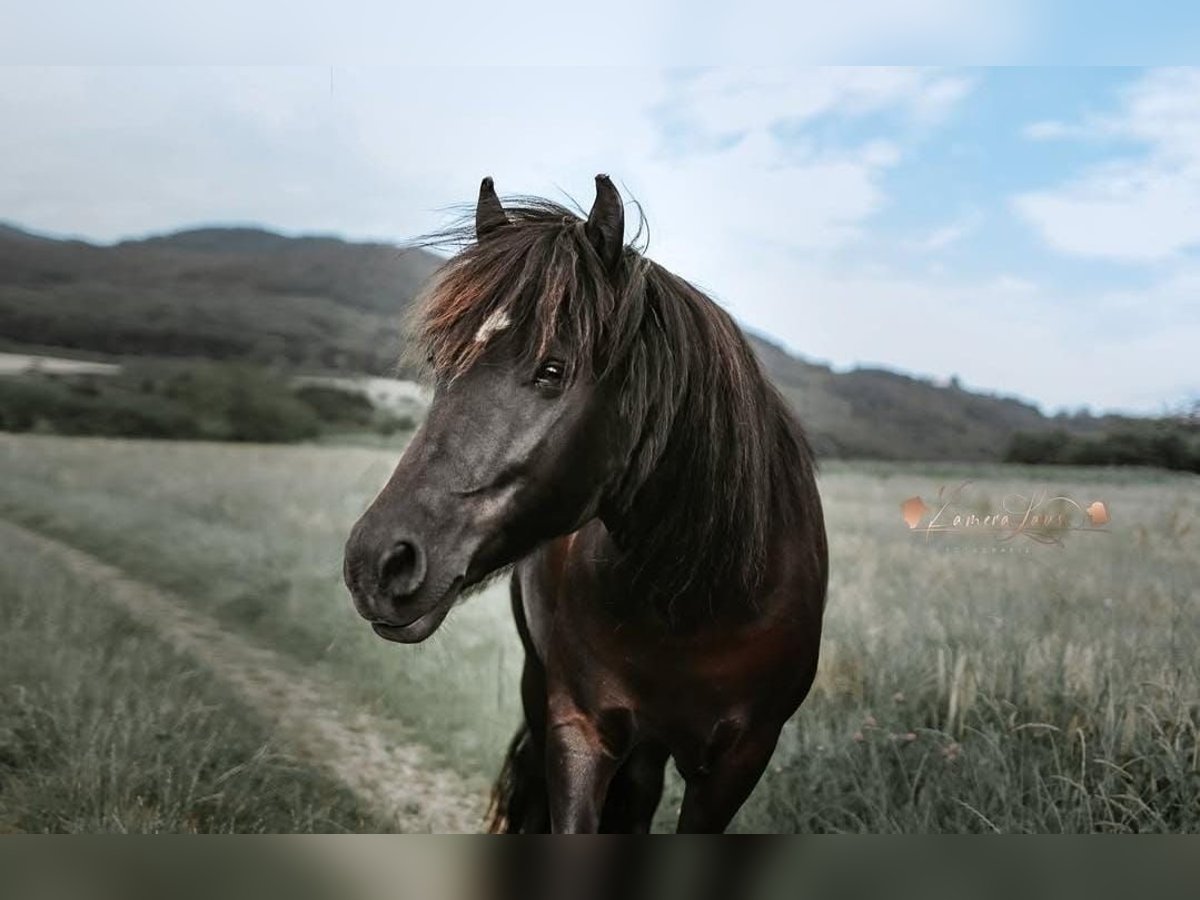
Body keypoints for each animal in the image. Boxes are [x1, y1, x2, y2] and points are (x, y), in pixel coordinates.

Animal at [343, 175, 828, 833]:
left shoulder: (739, 762)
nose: (377, 563)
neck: (699, 600)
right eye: (444, 366)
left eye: (553, 369)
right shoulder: (580, 729)